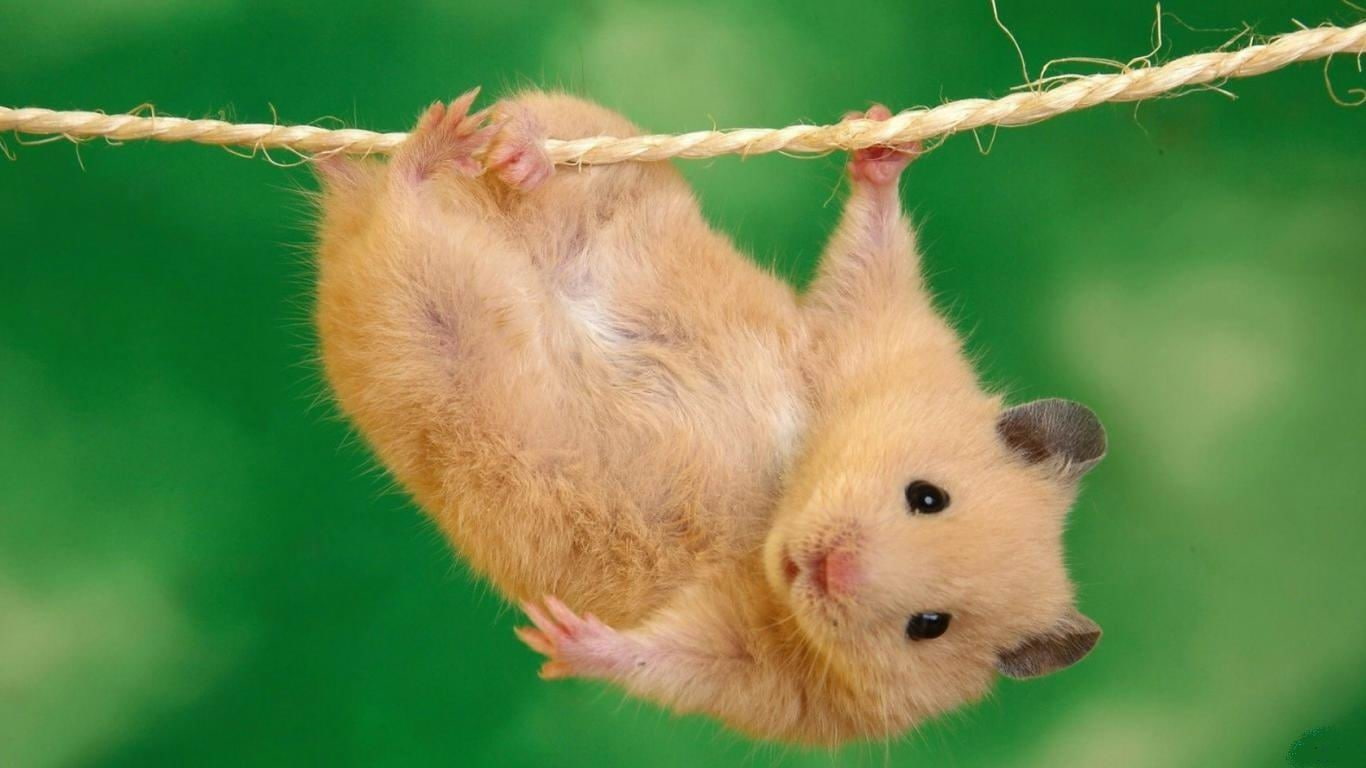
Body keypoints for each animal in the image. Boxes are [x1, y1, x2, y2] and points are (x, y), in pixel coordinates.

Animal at [311, 90, 1106, 746]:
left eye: (929, 627)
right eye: (927, 496)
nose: (826, 568)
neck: (779, 504)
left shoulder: (764, 677)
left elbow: (666, 660)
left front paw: (558, 637)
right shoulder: (869, 335)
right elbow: (870, 256)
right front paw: (881, 138)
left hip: (418, 324)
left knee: (402, 219)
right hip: (610, 165)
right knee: (537, 137)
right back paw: (493, 147)